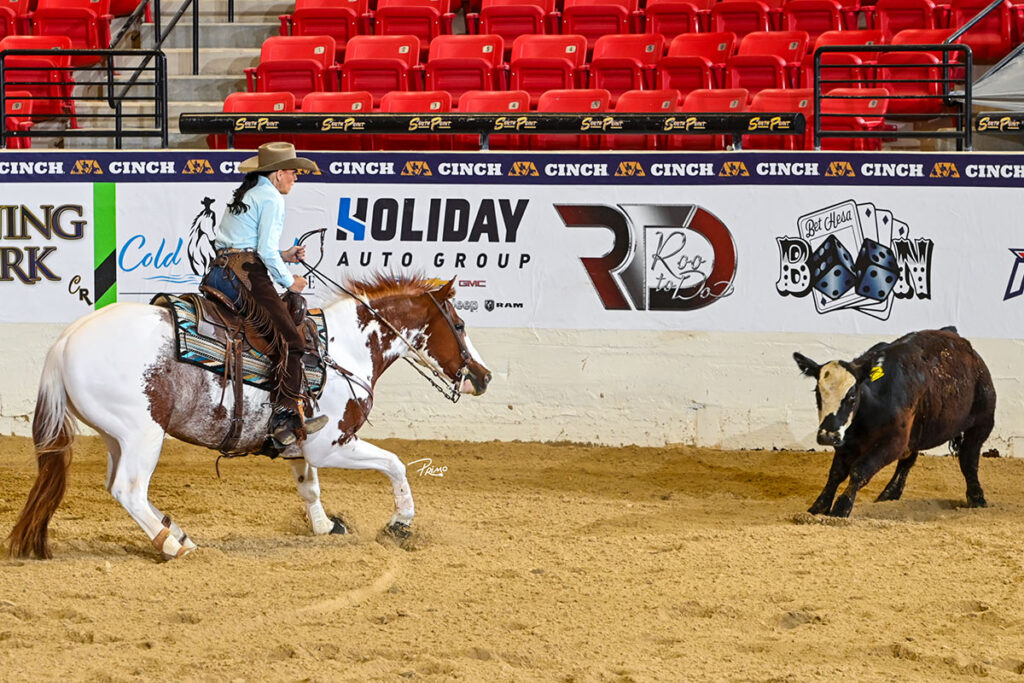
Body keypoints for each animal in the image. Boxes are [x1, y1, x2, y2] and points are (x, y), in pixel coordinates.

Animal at [7, 274, 491, 560]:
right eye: (460, 325)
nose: (483, 377)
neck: (344, 349)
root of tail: (64, 342)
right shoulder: (332, 443)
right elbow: (394, 464)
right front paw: (399, 525)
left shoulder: (301, 443)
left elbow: (309, 487)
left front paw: (324, 526)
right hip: (143, 434)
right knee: (128, 489)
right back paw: (174, 546)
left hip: (117, 435)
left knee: (118, 485)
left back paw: (176, 533)